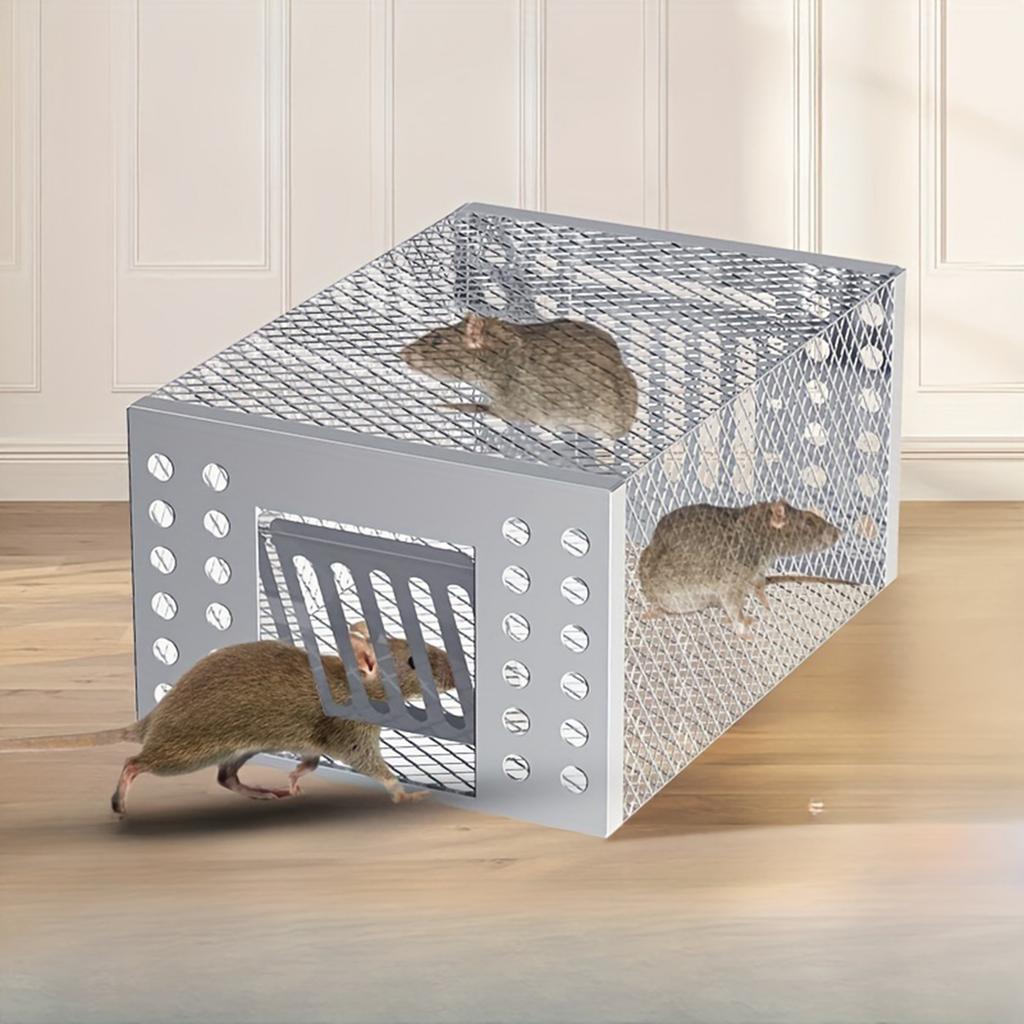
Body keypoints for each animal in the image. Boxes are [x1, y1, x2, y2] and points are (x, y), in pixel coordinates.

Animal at [0, 623, 456, 814]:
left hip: (238, 749)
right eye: (414, 662)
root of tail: (151, 720)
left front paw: (294, 782)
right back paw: (121, 801)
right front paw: (406, 795)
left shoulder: (316, 743)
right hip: (185, 753)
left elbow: (309, 763)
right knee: (135, 762)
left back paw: (262, 793)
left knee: (225, 777)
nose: (457, 672)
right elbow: (374, 768)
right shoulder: (350, 736)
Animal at [638, 501, 845, 637]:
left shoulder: (756, 573)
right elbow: (732, 603)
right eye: (809, 521)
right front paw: (742, 626)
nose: (839, 532)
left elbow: (757, 586)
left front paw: (763, 599)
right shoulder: (731, 579)